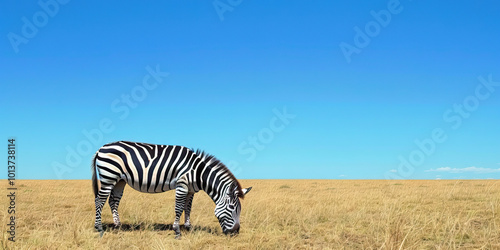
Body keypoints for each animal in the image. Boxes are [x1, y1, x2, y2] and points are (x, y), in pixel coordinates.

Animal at [90, 141, 252, 236]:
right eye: (232, 208)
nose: (236, 233)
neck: (198, 172)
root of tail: (101, 148)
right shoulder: (182, 185)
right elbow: (179, 208)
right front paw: (177, 230)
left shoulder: (191, 190)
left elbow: (188, 208)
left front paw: (188, 227)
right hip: (108, 176)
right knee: (99, 201)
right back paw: (99, 227)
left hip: (119, 180)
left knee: (113, 201)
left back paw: (118, 225)